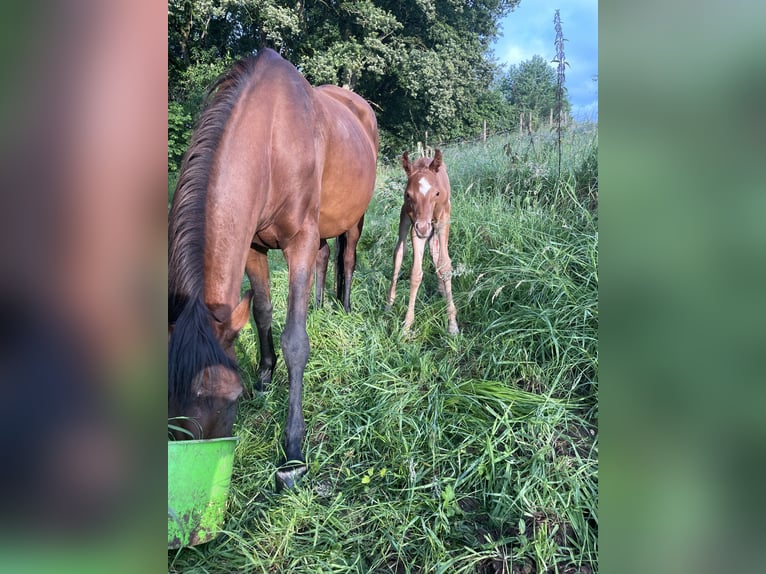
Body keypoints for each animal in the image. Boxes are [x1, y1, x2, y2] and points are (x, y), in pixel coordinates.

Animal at [171, 49, 380, 490]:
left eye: (230, 397)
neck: (272, 141)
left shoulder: (298, 239)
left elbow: (295, 341)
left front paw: (293, 453)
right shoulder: (253, 246)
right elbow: (262, 311)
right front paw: (266, 378)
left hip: (354, 219)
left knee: (347, 257)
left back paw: (345, 306)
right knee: (325, 257)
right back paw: (320, 305)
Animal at [388, 148, 460, 338]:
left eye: (437, 193)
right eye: (408, 194)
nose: (422, 228)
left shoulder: (443, 219)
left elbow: (444, 264)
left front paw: (452, 324)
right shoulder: (415, 224)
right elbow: (415, 273)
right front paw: (406, 325)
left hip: (434, 226)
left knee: (435, 252)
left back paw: (442, 290)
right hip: (406, 218)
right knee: (398, 253)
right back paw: (388, 305)